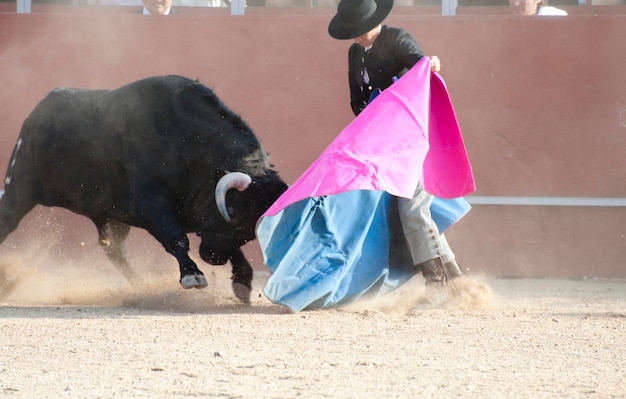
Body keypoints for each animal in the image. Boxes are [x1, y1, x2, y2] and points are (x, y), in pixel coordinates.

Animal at [0, 76, 286, 304]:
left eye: (252, 229)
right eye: (233, 211)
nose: (213, 257)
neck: (187, 142)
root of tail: (38, 110)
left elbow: (227, 244)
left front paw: (242, 283)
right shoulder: (150, 201)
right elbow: (176, 237)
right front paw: (192, 275)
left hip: (114, 217)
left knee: (114, 250)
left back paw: (140, 286)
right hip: (19, 187)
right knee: (6, 221)